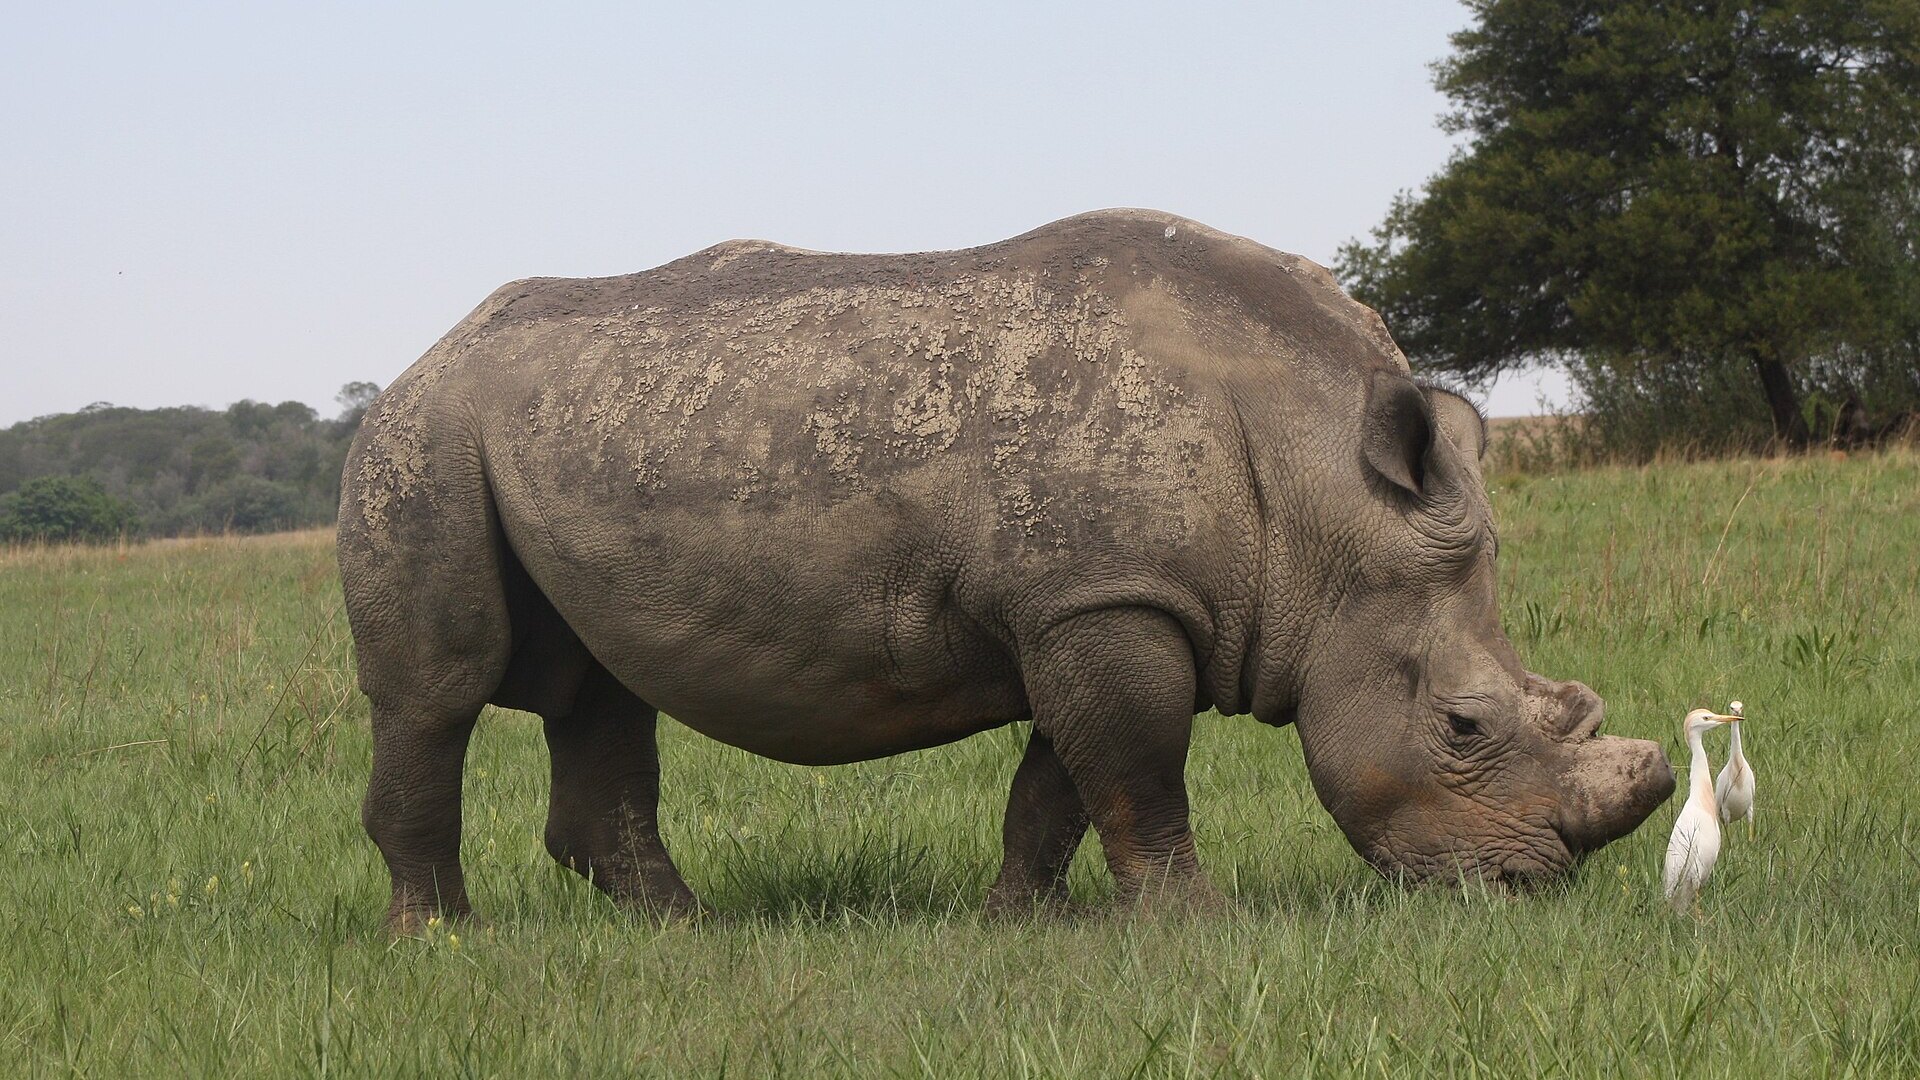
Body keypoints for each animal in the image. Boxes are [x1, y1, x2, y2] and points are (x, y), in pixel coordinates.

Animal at [339, 209, 1673, 929]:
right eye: (1462, 726)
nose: (1528, 883)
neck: (1325, 499)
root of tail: (426, 352)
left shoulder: (1088, 601)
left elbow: (1062, 784)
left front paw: (1025, 922)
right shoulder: (1106, 597)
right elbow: (1138, 768)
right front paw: (1197, 926)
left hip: (557, 434)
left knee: (602, 689)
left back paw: (683, 929)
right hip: (422, 438)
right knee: (441, 693)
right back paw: (440, 941)